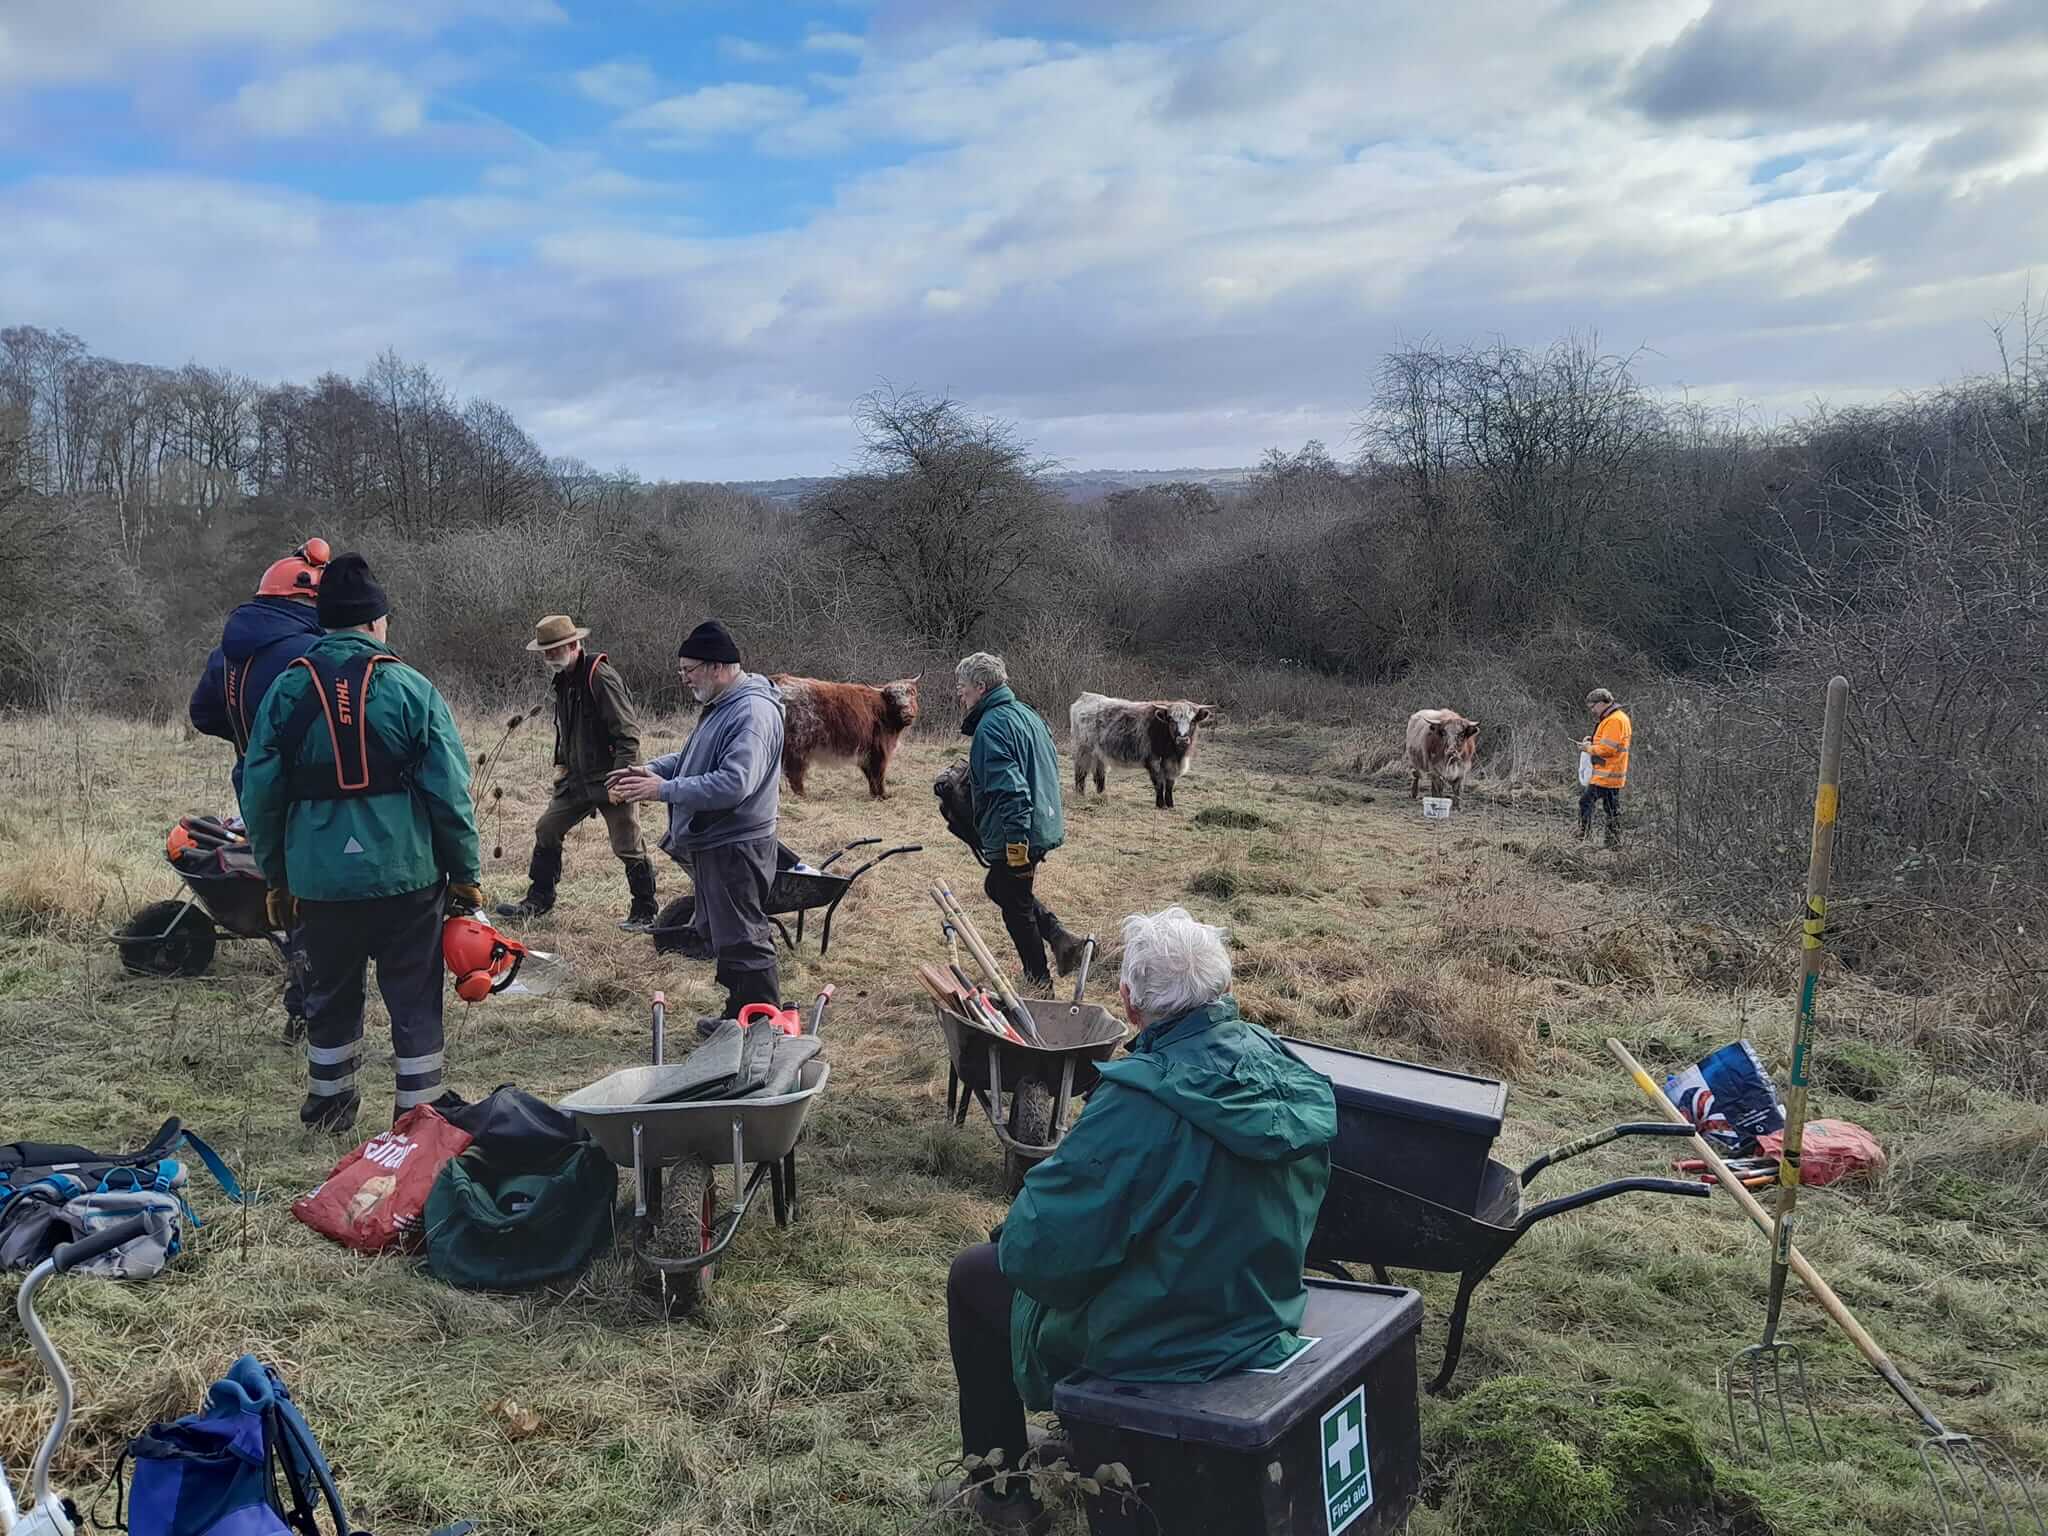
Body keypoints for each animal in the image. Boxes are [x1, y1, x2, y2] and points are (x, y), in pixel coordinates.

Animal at [770, 671, 925, 798]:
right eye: (892, 698)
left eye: (911, 692)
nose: (907, 713)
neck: (882, 711)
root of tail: (779, 680)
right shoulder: (879, 750)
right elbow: (878, 774)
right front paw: (882, 795)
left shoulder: (866, 754)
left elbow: (870, 775)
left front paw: (874, 794)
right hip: (797, 745)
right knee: (794, 773)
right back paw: (802, 795)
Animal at [1073, 696, 1212, 811]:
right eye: (1171, 720)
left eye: (1193, 721)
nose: (1182, 739)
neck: (1175, 753)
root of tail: (1085, 697)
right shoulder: (1154, 761)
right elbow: (1159, 783)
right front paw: (1160, 804)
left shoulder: (1171, 764)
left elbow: (1169, 785)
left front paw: (1170, 804)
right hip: (1083, 750)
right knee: (1081, 773)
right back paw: (1080, 795)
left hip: (1099, 754)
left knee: (1099, 775)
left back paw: (1102, 795)